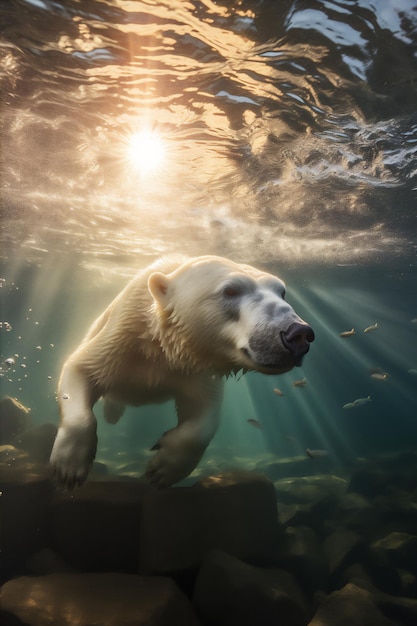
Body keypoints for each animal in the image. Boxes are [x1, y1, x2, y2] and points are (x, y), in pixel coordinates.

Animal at [49, 255, 312, 488]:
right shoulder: (122, 336)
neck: (163, 347)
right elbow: (79, 369)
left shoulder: (195, 369)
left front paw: (163, 468)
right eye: (230, 291)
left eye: (282, 291)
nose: (298, 333)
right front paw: (70, 467)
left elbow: (204, 413)